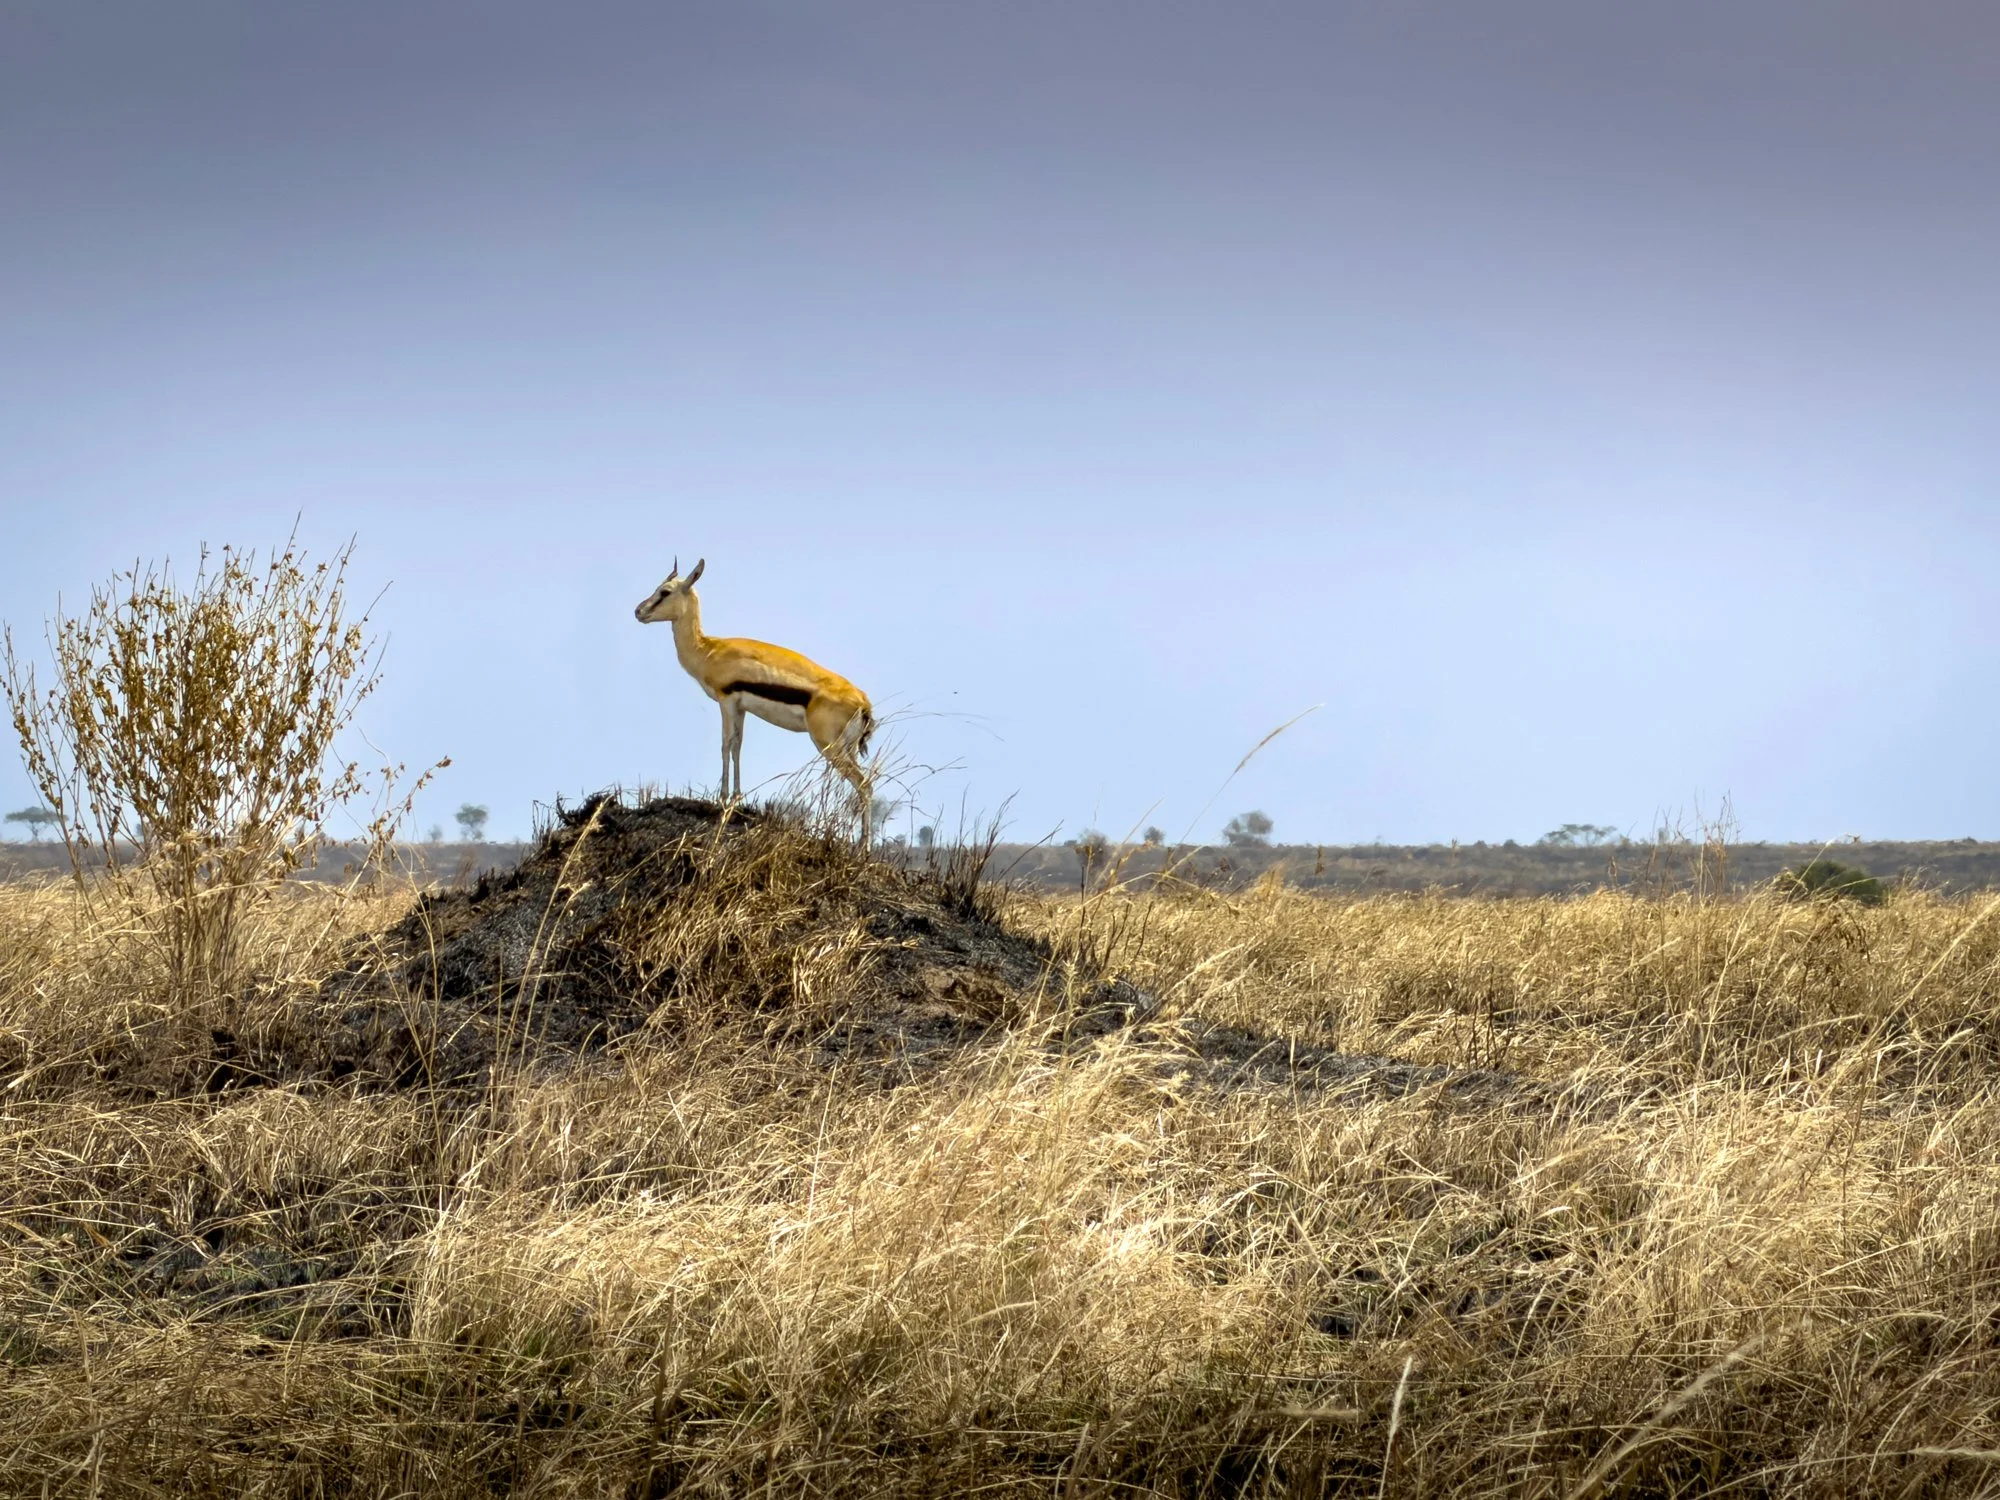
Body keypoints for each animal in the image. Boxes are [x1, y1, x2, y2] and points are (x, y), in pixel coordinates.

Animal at [634, 558, 875, 843]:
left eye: (665, 591)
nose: (639, 611)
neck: (708, 649)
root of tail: (862, 700)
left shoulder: (725, 701)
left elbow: (725, 744)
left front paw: (723, 800)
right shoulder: (741, 708)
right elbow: (738, 746)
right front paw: (736, 799)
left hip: (829, 746)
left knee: (864, 784)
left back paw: (865, 846)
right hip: (848, 749)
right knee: (863, 785)